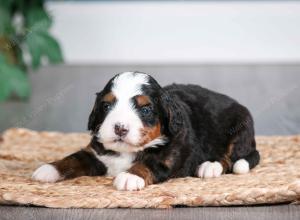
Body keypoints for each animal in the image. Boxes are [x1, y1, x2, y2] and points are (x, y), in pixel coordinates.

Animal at [31, 72, 258, 191]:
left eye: (146, 109)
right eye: (106, 106)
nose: (120, 128)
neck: (127, 151)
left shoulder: (169, 156)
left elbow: (149, 163)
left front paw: (130, 176)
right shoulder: (95, 153)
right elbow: (74, 158)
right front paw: (49, 169)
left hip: (240, 128)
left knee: (230, 158)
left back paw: (209, 166)